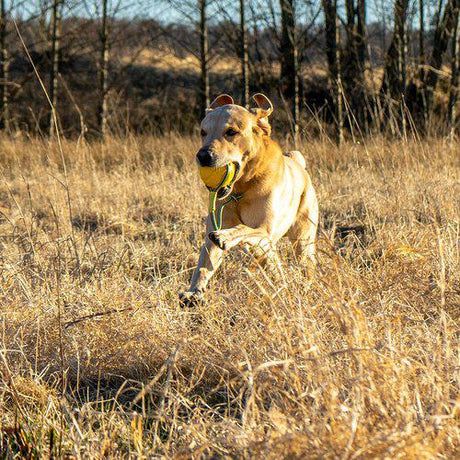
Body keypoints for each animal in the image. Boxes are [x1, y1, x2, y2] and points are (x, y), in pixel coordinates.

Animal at [178, 94, 318, 308]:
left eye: (231, 132)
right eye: (203, 132)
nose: (202, 156)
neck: (242, 188)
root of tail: (297, 162)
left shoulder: (264, 230)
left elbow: (243, 228)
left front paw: (225, 236)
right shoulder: (212, 234)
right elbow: (203, 266)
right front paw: (194, 292)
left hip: (303, 242)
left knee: (304, 265)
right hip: (267, 250)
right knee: (273, 266)